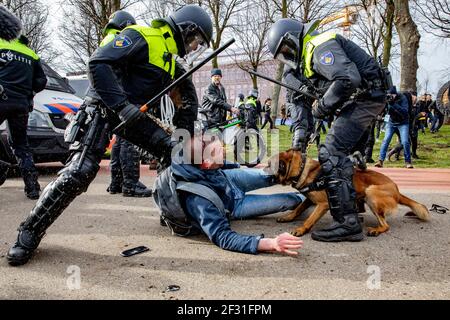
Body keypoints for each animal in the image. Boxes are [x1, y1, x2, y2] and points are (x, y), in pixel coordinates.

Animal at [268, 149, 428, 236]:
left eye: (269, 165)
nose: (263, 169)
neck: (302, 169)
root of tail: (397, 190)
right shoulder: (309, 199)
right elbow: (297, 209)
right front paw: (288, 217)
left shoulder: (323, 204)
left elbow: (309, 219)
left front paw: (301, 229)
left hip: (371, 192)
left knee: (386, 225)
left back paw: (376, 230)